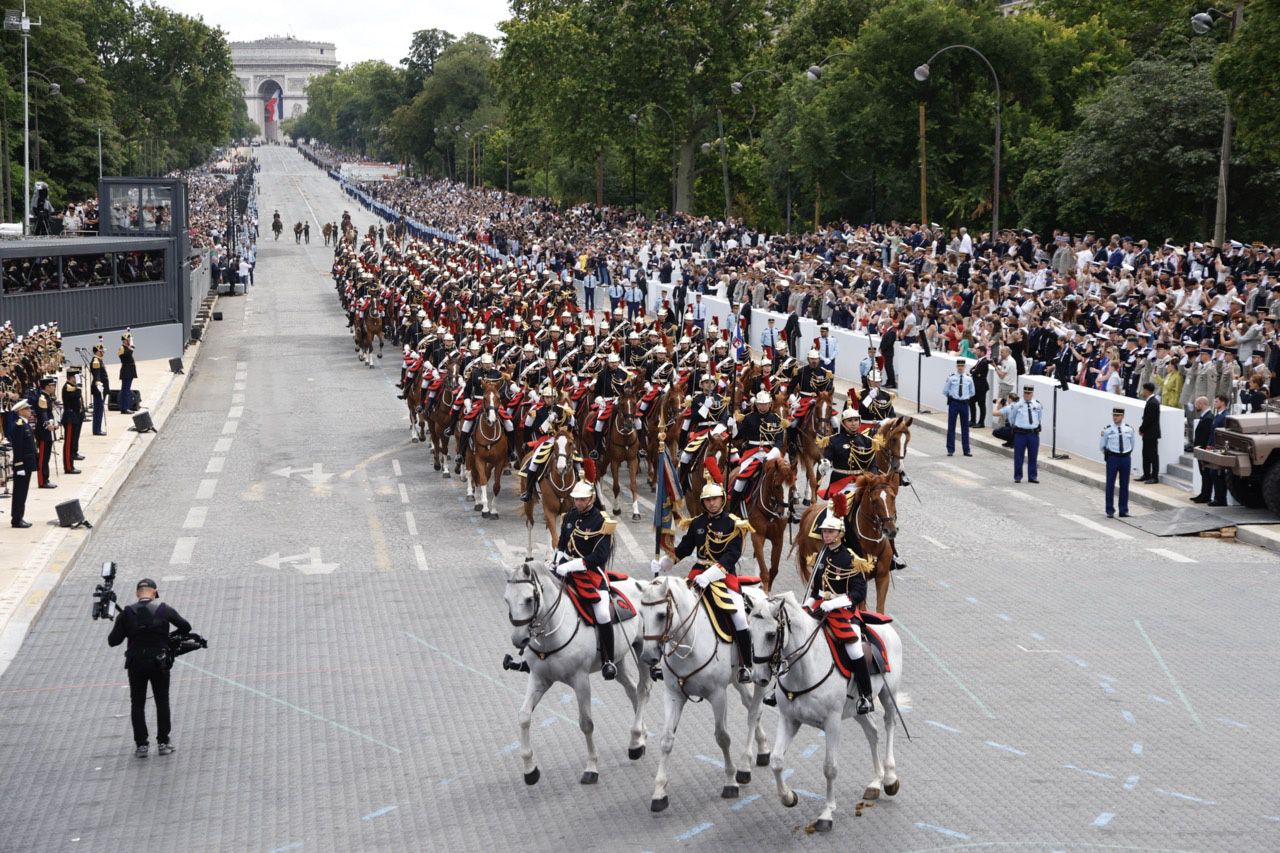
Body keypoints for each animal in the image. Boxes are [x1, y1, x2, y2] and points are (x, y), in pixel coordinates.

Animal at [501, 558, 650, 783]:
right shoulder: (538, 679)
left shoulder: (581, 681)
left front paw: (591, 767)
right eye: (506, 599)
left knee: (642, 690)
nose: (519, 640)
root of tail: (641, 584)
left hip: (643, 651)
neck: (551, 633)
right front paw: (530, 769)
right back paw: (640, 737)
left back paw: (634, 742)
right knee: (632, 689)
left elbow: (586, 723)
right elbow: (524, 716)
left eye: (528, 599)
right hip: (618, 658)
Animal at [640, 573, 768, 809]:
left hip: (762, 677)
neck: (691, 644)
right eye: (642, 614)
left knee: (754, 713)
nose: (648, 657)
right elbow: (666, 739)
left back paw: (744, 767)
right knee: (749, 705)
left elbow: (722, 737)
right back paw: (763, 749)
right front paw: (659, 792)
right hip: (738, 679)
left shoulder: (718, 695)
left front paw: (730, 781)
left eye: (662, 615)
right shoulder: (673, 695)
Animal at [747, 591, 906, 829]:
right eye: (749, 632)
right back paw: (875, 783)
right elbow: (776, 761)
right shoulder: (789, 719)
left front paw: (827, 813)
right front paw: (788, 797)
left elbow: (829, 767)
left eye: (770, 634)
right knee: (872, 730)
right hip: (855, 708)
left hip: (889, 694)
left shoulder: (832, 722)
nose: (759, 678)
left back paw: (889, 778)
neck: (805, 668)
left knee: (889, 725)